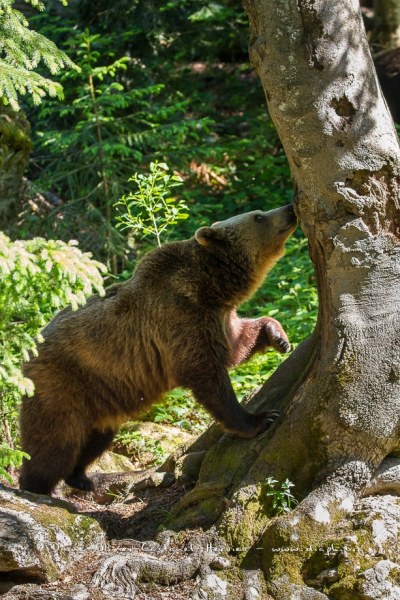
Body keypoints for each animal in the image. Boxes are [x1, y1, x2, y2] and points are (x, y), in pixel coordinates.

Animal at [18, 204, 296, 494]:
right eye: (258, 216)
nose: (289, 208)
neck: (210, 286)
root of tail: (30, 348)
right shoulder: (181, 319)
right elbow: (208, 376)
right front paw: (260, 419)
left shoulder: (217, 318)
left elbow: (237, 343)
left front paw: (278, 336)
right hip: (62, 384)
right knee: (54, 443)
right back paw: (35, 486)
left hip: (100, 396)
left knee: (96, 437)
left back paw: (82, 477)